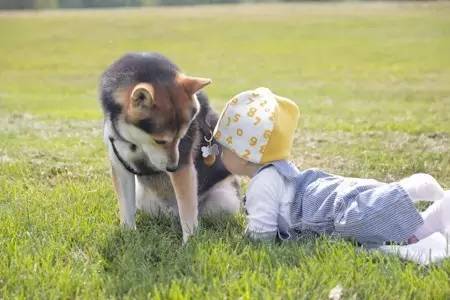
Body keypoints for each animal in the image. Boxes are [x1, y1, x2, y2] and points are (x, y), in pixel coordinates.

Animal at [98, 52, 239, 243]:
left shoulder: (184, 167)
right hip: (143, 198)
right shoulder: (120, 164)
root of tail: (168, 213)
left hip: (225, 199)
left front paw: (189, 243)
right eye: (160, 141)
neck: (136, 142)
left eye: (181, 136)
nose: (172, 167)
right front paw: (128, 236)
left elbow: (187, 212)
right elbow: (126, 208)